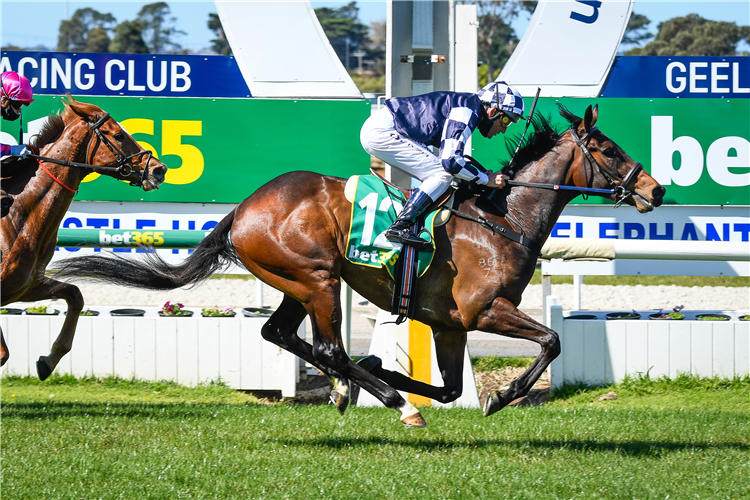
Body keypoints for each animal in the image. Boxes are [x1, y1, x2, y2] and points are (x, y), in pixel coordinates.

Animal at [0, 94, 166, 378]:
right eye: (118, 134)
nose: (159, 169)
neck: (19, 216)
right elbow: (2, 354)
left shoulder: (25, 286)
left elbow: (75, 295)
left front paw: (48, 361)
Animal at [51, 104, 664, 426]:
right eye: (608, 150)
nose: (655, 190)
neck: (503, 218)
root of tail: (243, 208)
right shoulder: (484, 310)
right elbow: (551, 342)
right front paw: (499, 395)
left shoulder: (449, 324)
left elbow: (450, 388)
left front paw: (405, 376)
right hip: (318, 280)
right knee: (327, 349)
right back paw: (390, 401)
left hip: (297, 283)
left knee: (282, 334)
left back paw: (366, 387)